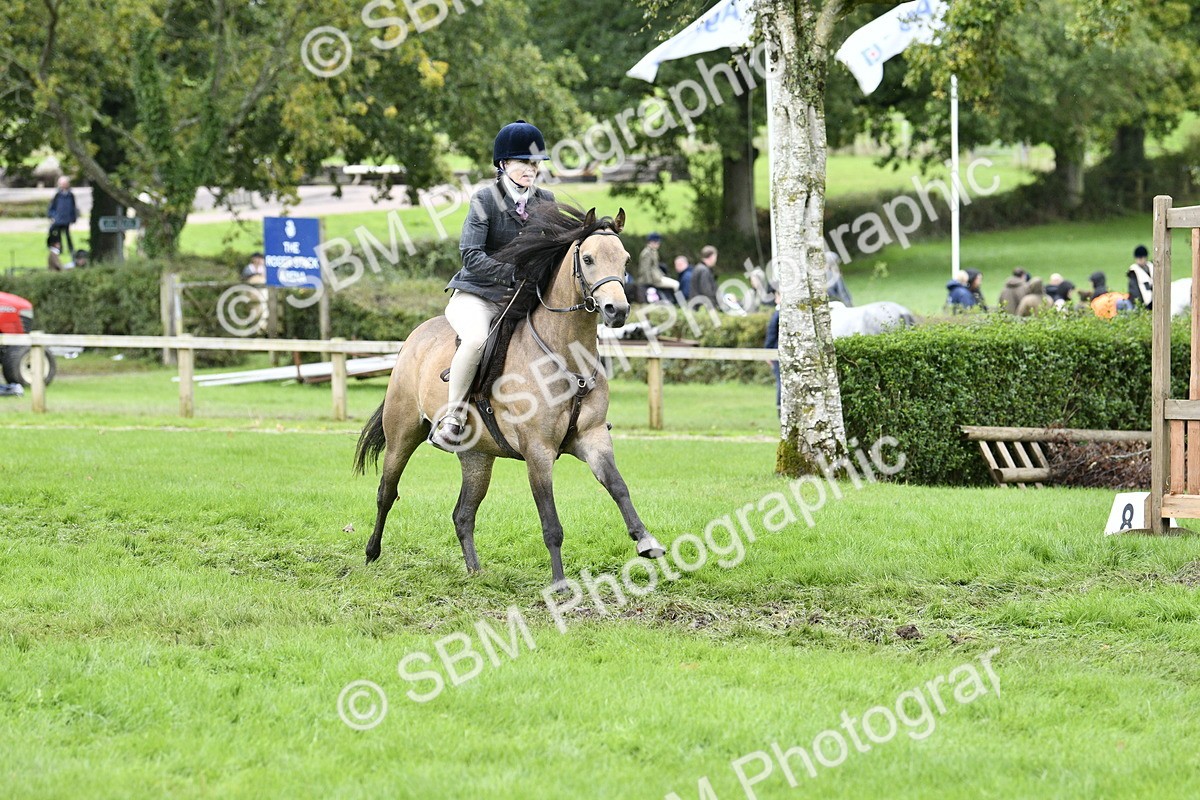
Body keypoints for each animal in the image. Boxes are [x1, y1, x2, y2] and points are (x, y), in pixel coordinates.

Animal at [353, 204, 666, 588]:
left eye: (625, 259)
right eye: (588, 258)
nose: (616, 311)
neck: (565, 357)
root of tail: (414, 337)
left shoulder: (592, 439)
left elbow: (619, 487)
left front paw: (646, 541)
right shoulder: (538, 451)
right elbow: (550, 522)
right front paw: (559, 583)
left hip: (477, 457)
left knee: (463, 515)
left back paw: (475, 573)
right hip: (403, 433)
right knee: (386, 492)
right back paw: (371, 554)